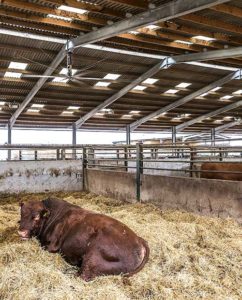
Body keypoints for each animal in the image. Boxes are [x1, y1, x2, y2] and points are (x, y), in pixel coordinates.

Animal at [18, 198, 149, 280]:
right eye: (21, 213)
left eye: (36, 217)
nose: (21, 231)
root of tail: (140, 240)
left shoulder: (52, 245)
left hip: (93, 253)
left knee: (83, 275)